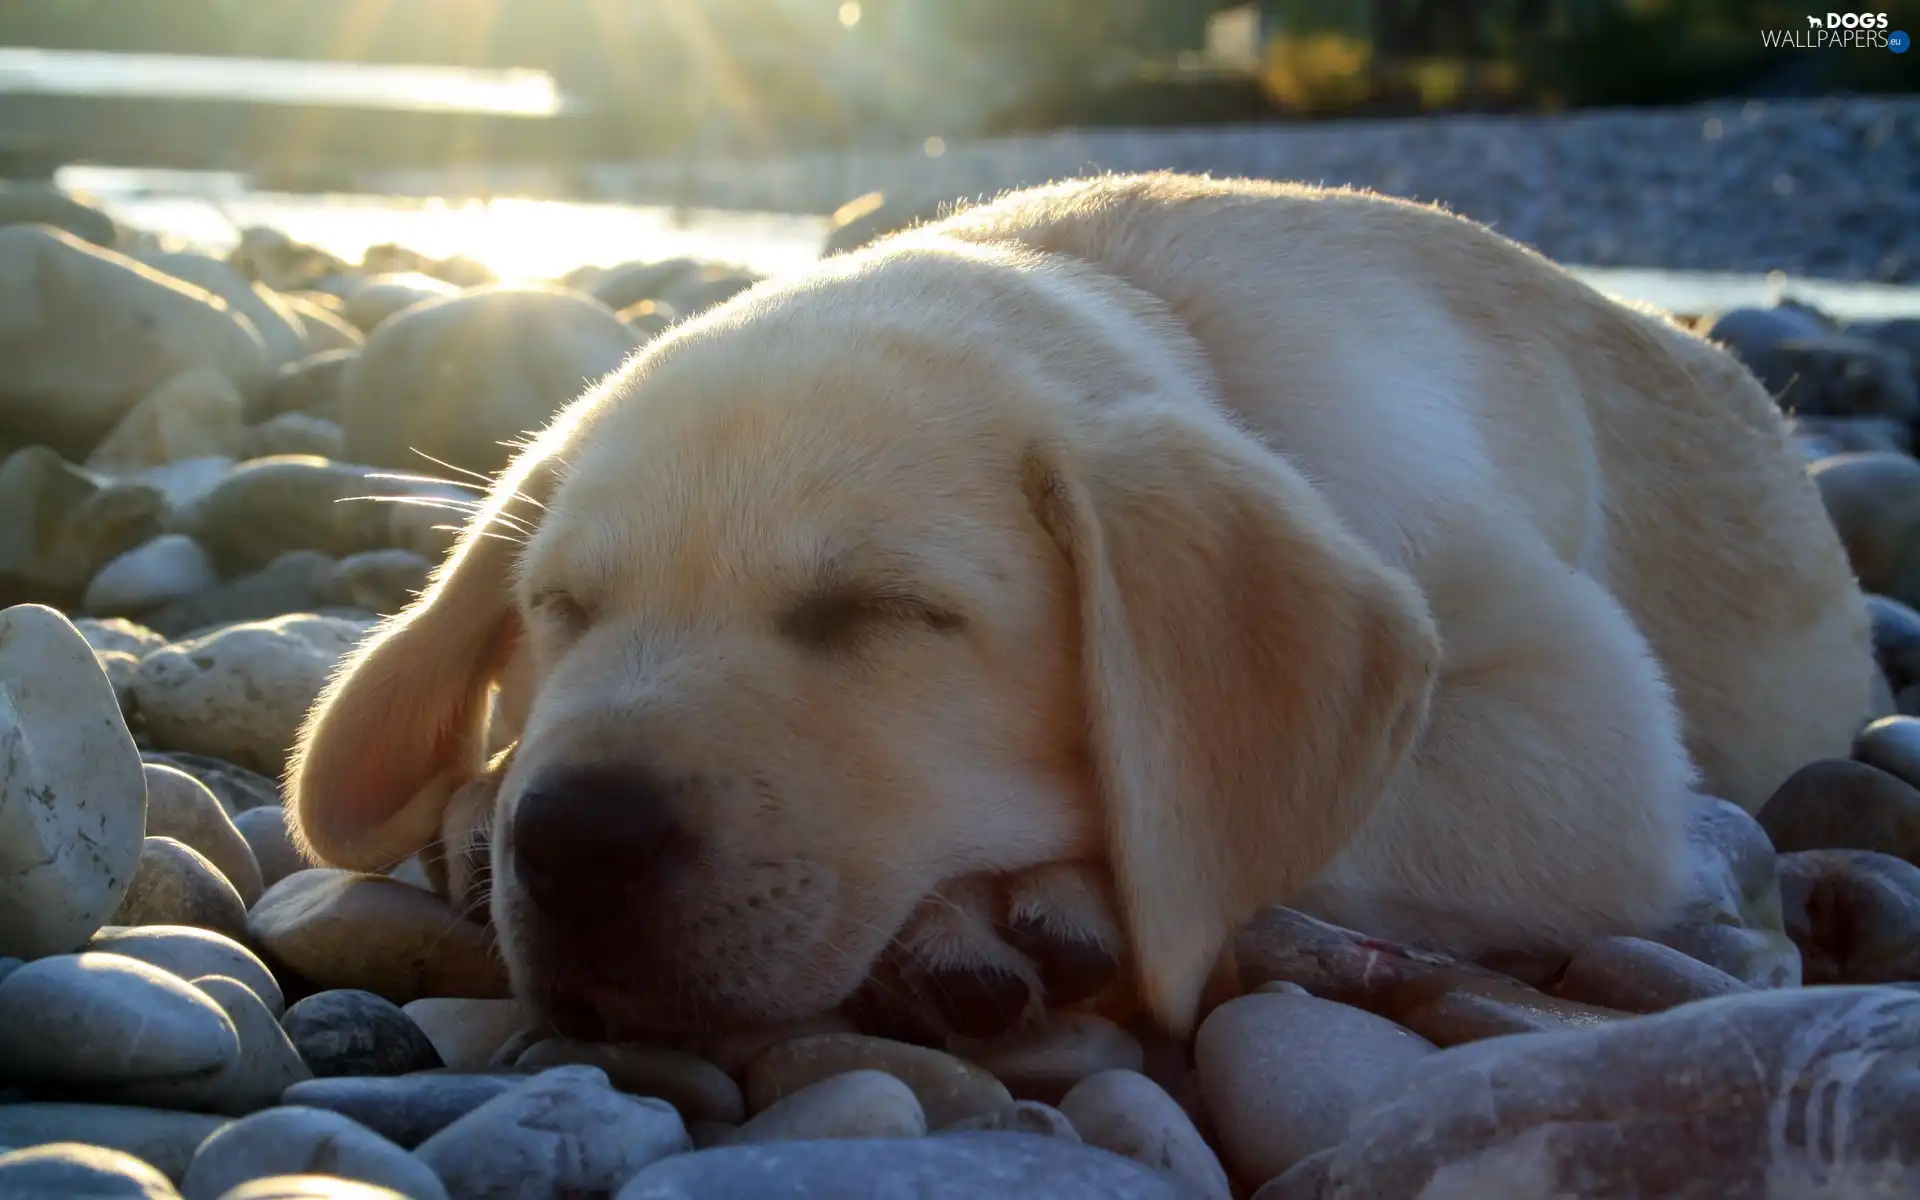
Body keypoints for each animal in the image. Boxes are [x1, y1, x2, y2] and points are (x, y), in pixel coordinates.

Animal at [288, 170, 1873, 1036]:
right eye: (560, 606)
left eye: (882, 612)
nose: (572, 838)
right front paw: (482, 795)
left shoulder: (1588, 731)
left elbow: (1313, 812)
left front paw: (1022, 897)